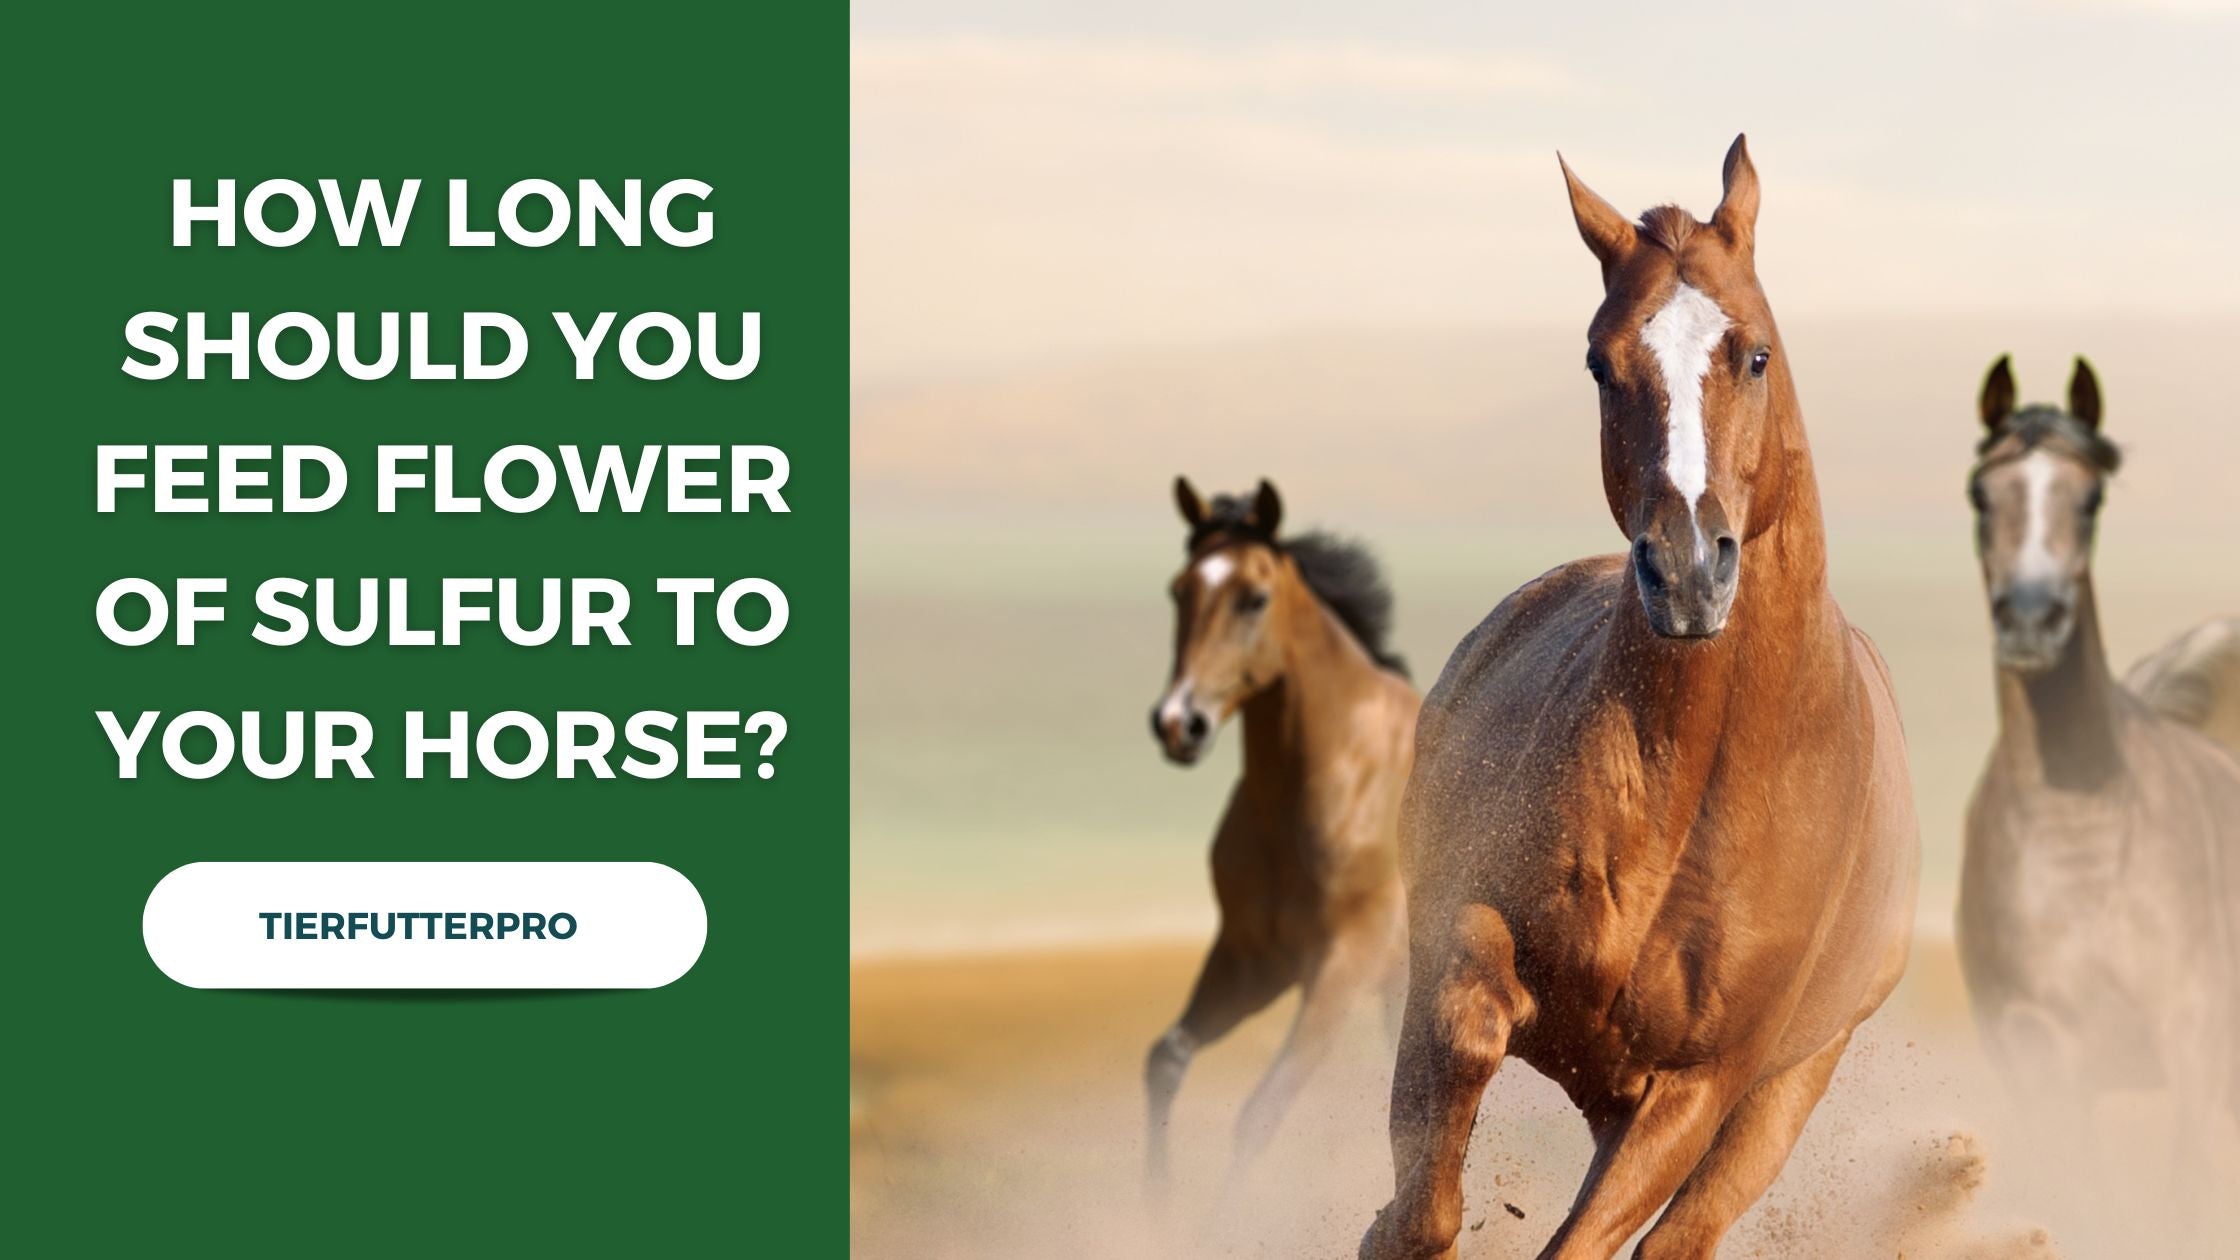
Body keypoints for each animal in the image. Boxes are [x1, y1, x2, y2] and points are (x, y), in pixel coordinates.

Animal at [1145, 477, 1418, 1193]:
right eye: (1179, 590)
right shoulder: (1254, 959)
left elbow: (1260, 1114)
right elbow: (1166, 1060)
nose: (1178, 723)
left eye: (1254, 598)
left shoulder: (1345, 961)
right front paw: (1156, 1206)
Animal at [1360, 137, 1919, 1260]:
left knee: (1677, 1239)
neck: (1691, 790)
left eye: (1754, 353)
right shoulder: (1462, 935)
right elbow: (1444, 1119)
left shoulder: (1697, 1090)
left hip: (1783, 1092)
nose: (1689, 572)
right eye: (1599, 362)